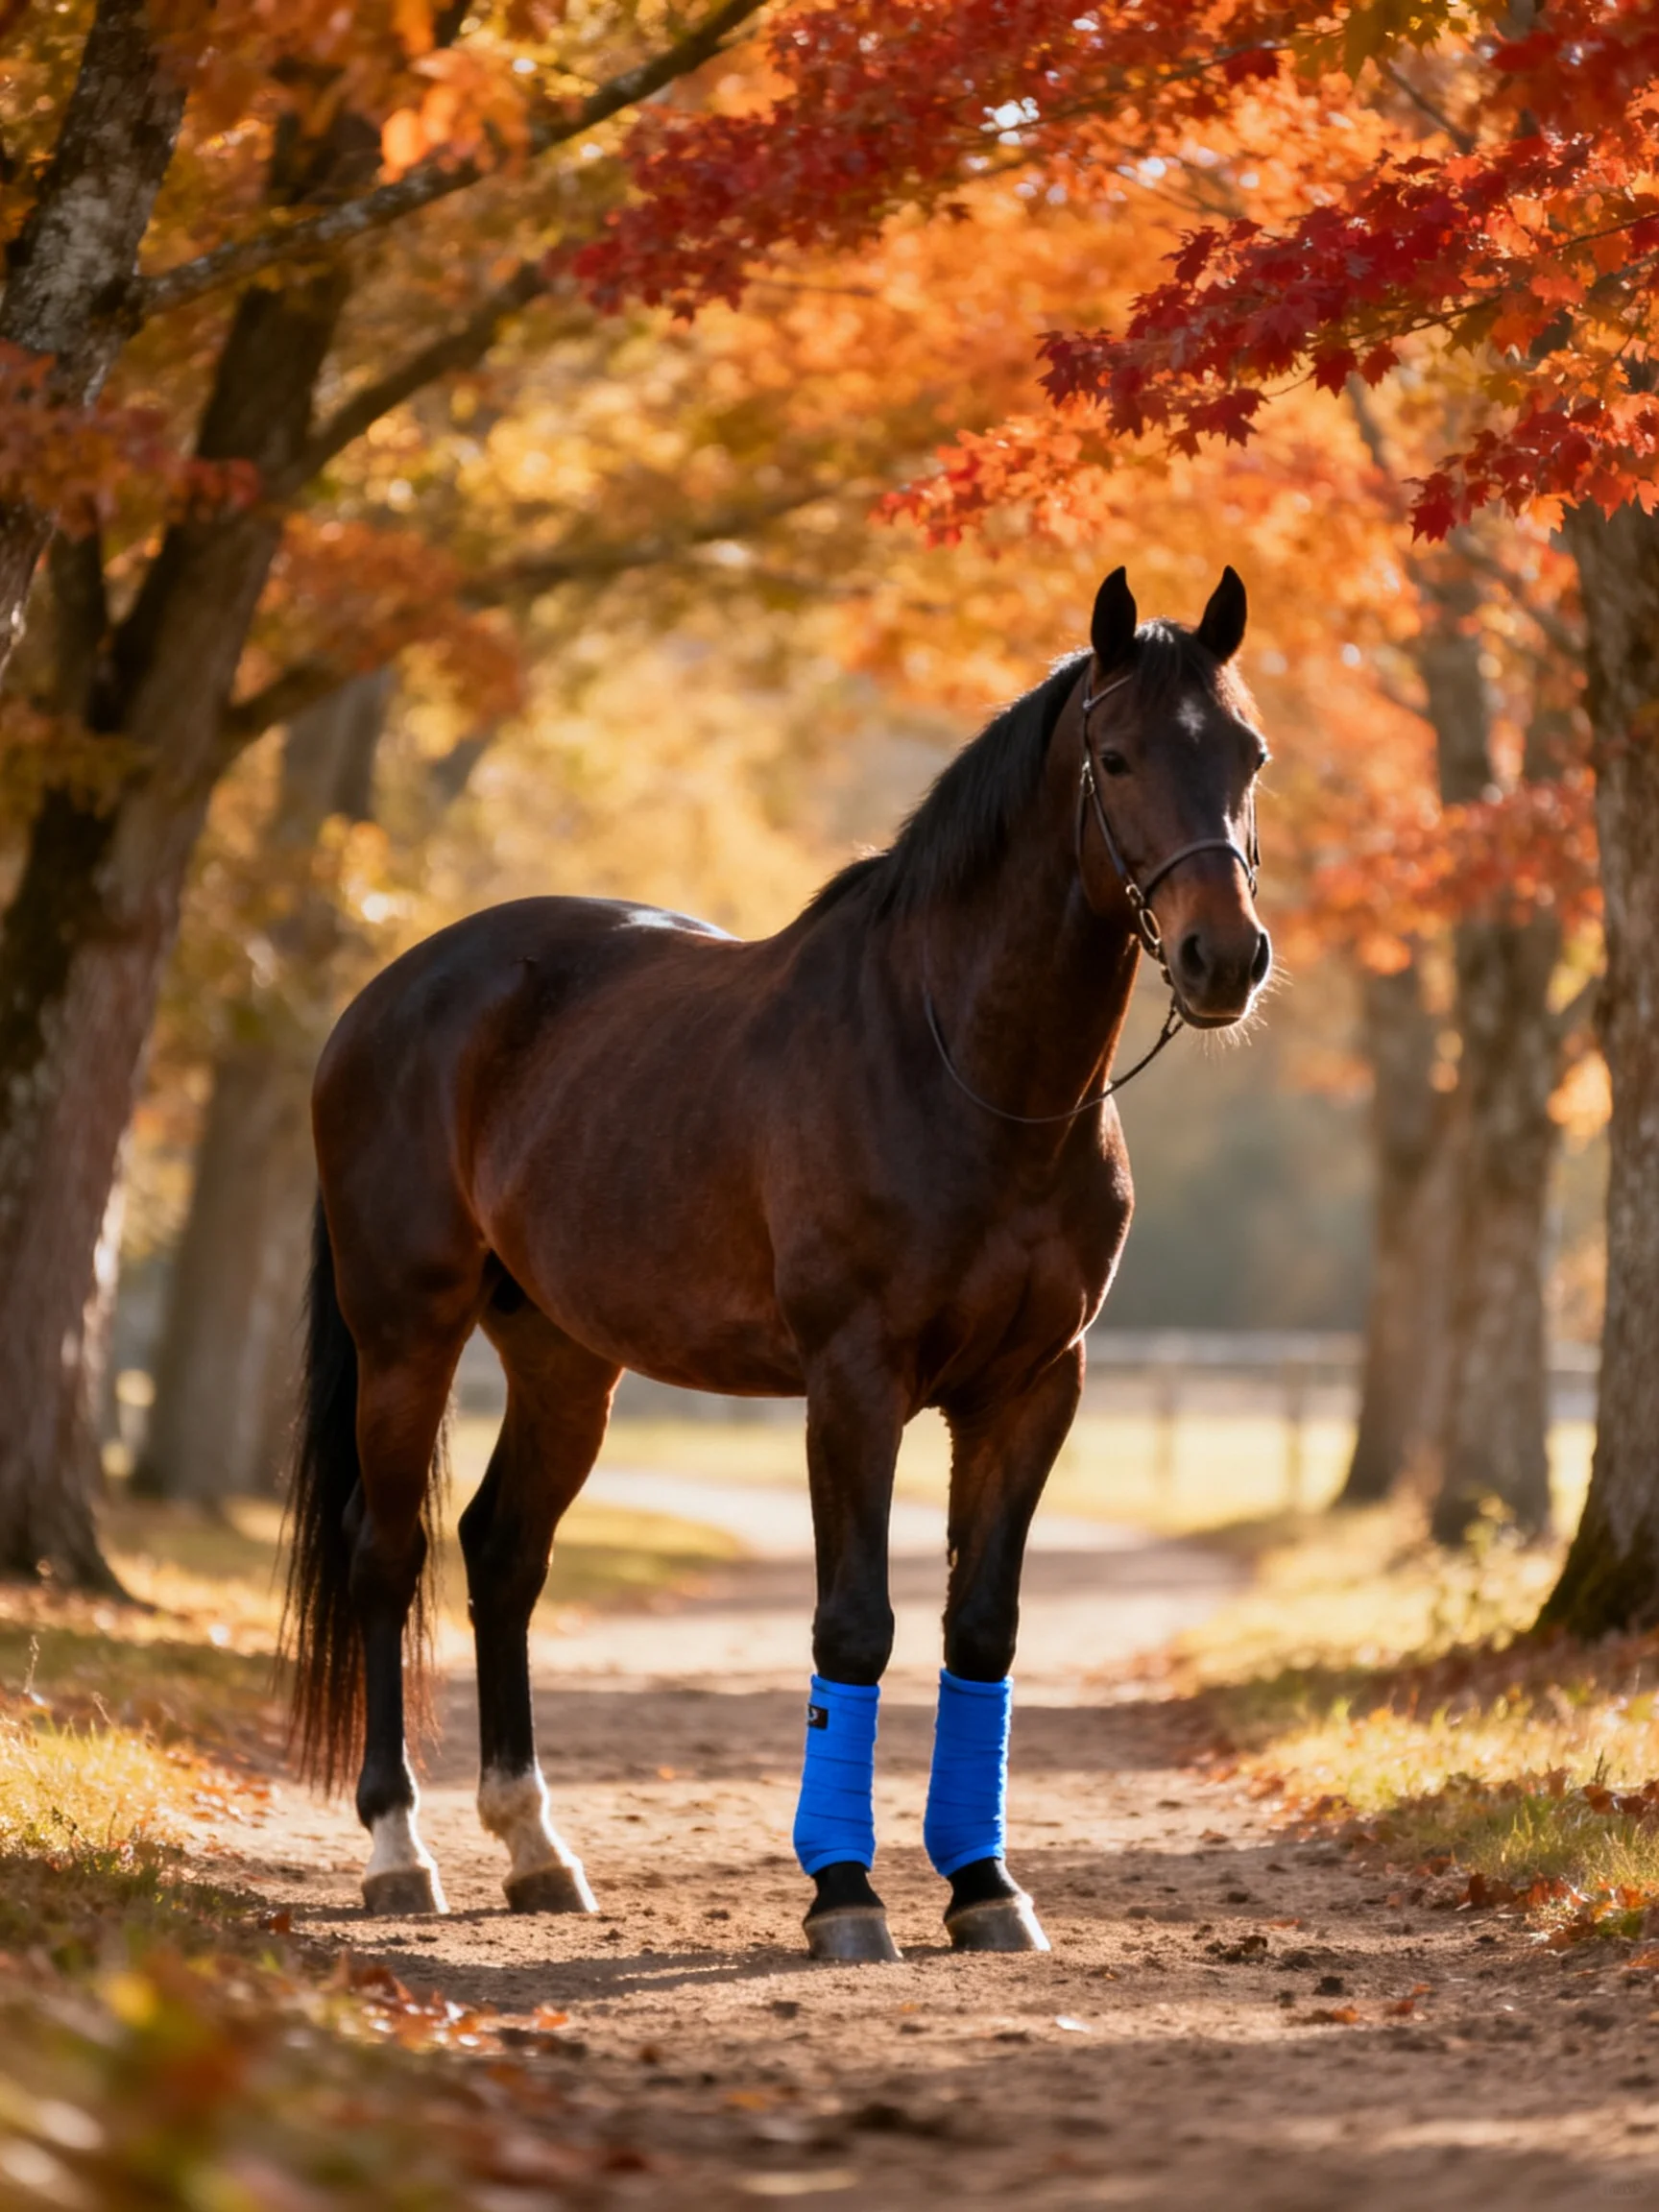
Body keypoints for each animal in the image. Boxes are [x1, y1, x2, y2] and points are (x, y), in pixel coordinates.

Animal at [283, 563, 1272, 1963]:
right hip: (403, 1337)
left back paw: (536, 1848)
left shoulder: (1034, 1388)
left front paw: (985, 1885)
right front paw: (845, 1891)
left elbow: (983, 1627)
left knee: (504, 1554)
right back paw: (396, 1850)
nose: (1223, 958)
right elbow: (853, 1627)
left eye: (1248, 754)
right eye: (1119, 755)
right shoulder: (853, 1383)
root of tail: (385, 999)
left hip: (563, 1361)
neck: (965, 1072)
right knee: (388, 1555)